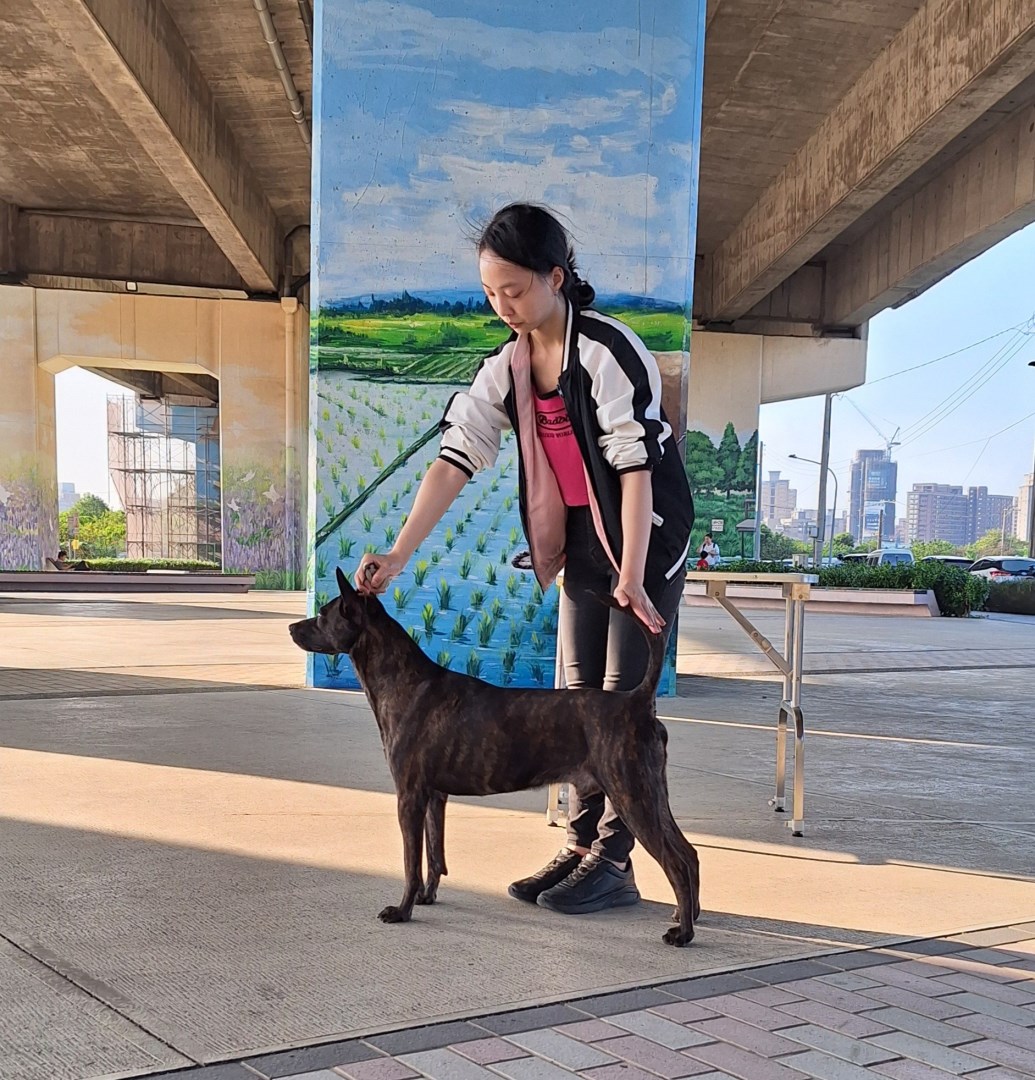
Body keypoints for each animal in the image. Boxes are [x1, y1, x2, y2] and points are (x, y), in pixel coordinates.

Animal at [289, 567, 701, 947]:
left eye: (324, 614)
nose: (293, 627)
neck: (404, 682)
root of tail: (636, 700)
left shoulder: (409, 796)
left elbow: (411, 862)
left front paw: (402, 909)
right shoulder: (434, 797)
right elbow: (435, 855)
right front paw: (426, 897)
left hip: (632, 795)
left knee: (675, 861)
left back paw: (683, 933)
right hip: (650, 794)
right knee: (689, 853)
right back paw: (688, 915)